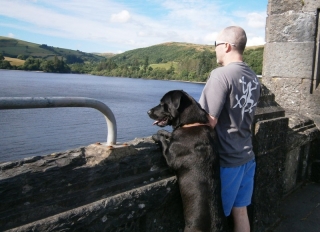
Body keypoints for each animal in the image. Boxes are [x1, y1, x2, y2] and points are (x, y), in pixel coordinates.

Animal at [147, 90, 222, 232]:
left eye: (162, 103)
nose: (148, 111)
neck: (192, 123)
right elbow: (169, 134)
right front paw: (164, 132)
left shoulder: (170, 156)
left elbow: (163, 140)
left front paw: (157, 135)